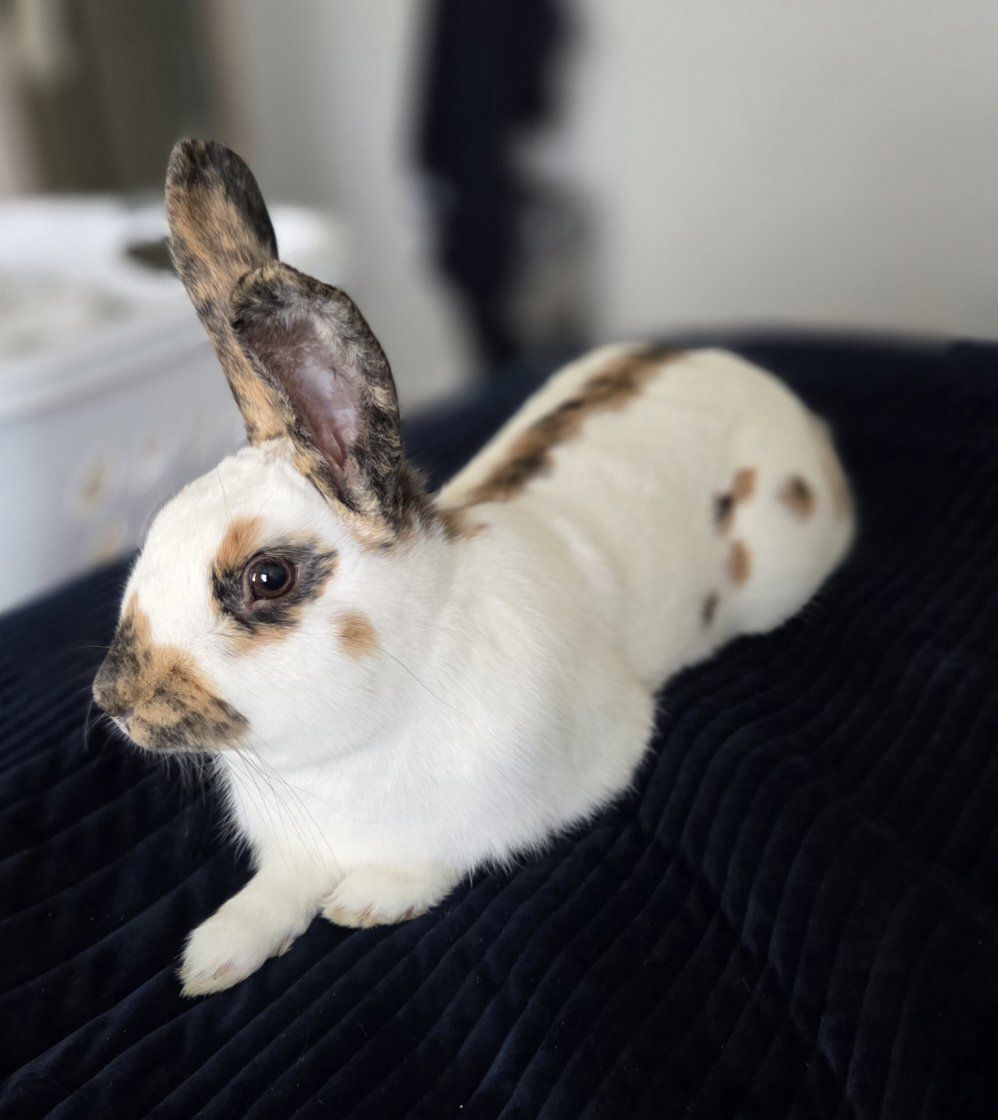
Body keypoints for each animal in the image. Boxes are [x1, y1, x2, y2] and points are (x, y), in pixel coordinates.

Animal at [92, 139, 855, 997]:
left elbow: (440, 854)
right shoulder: (295, 848)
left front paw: (369, 900)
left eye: (267, 578)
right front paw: (214, 957)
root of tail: (767, 389)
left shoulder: (546, 789)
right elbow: (276, 889)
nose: (113, 701)